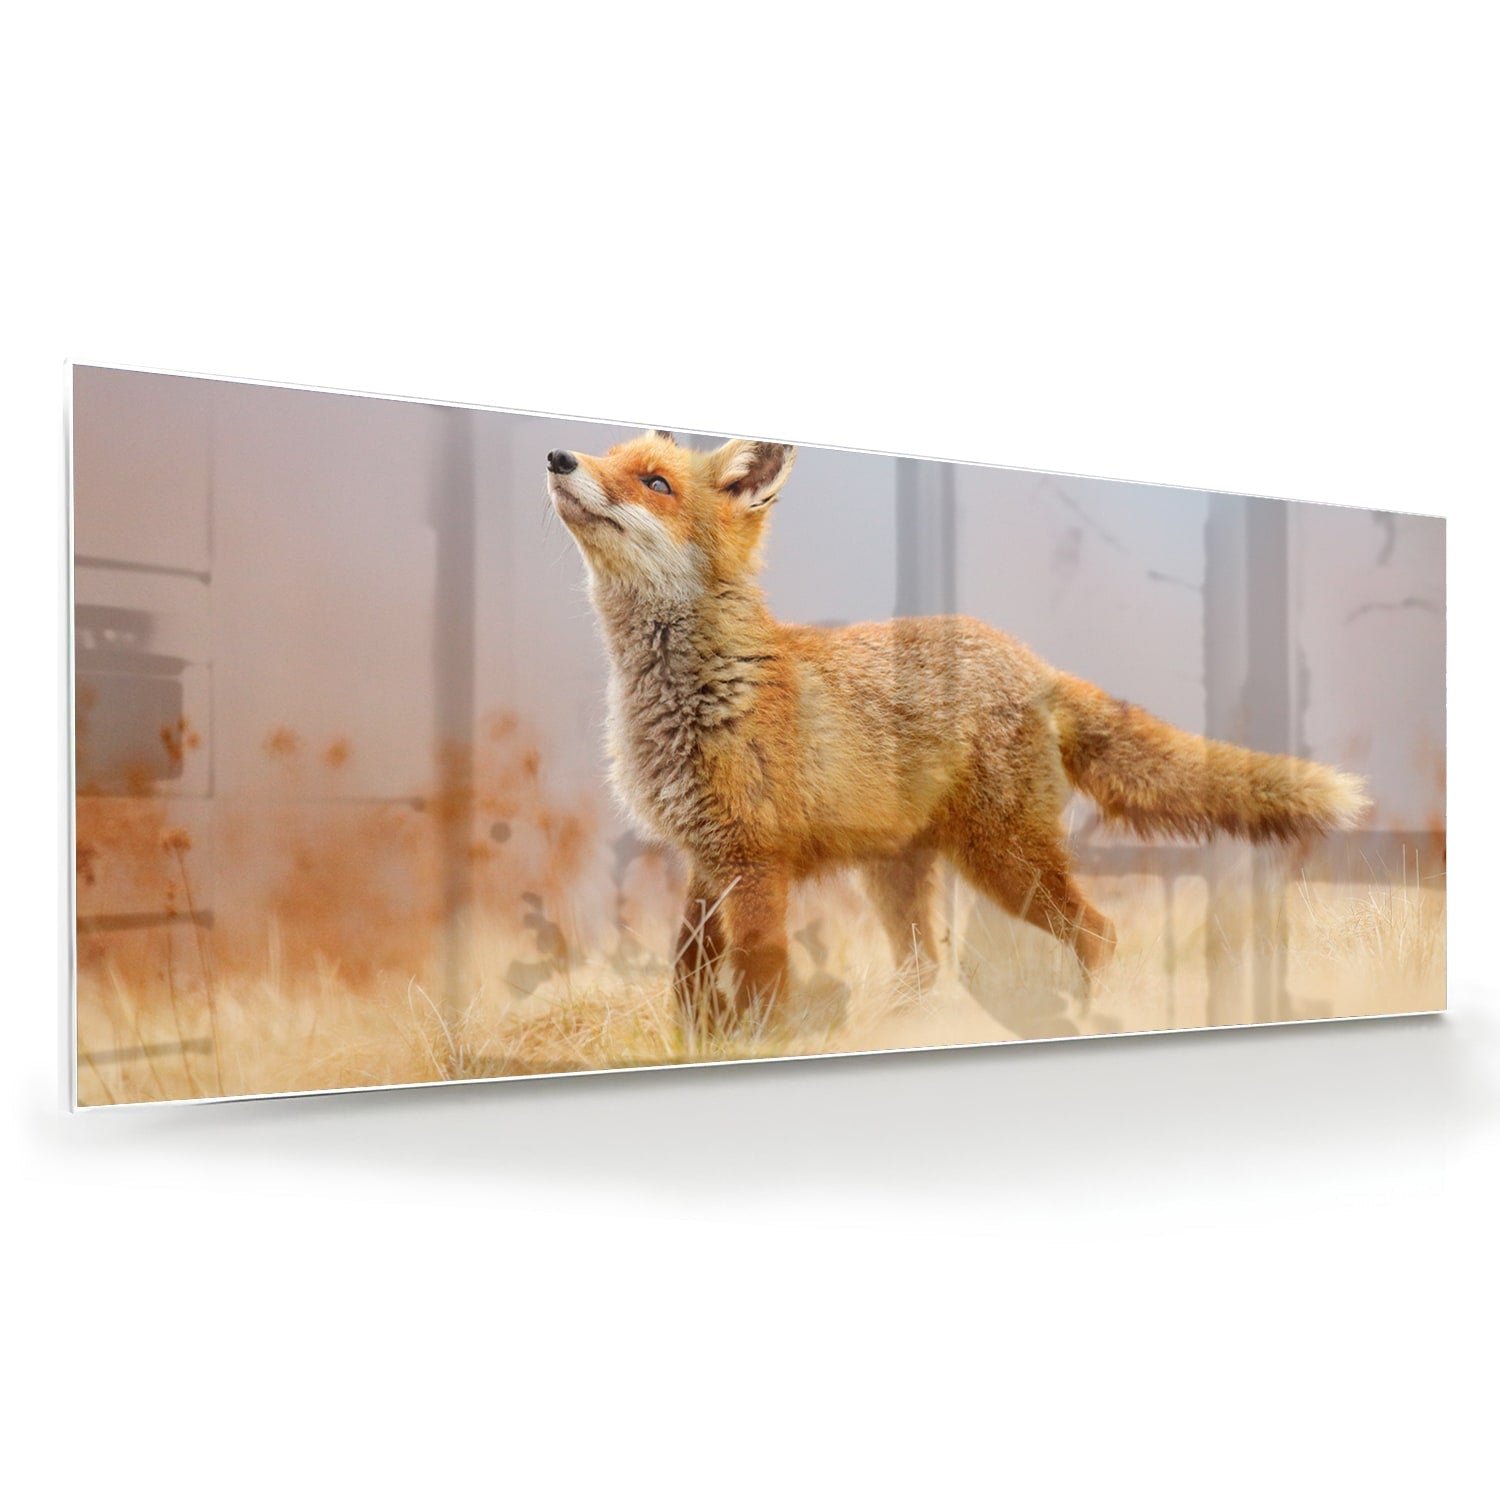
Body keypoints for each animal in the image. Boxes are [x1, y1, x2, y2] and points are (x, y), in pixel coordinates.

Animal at [547, 429, 1369, 1030]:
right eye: (609, 457)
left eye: (655, 482)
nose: (558, 457)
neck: (696, 692)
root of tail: (1030, 658)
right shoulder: (705, 855)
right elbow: (686, 973)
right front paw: (699, 1040)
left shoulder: (753, 860)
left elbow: (757, 976)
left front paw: (756, 1039)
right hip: (900, 875)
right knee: (926, 966)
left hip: (1003, 859)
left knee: (1096, 933)